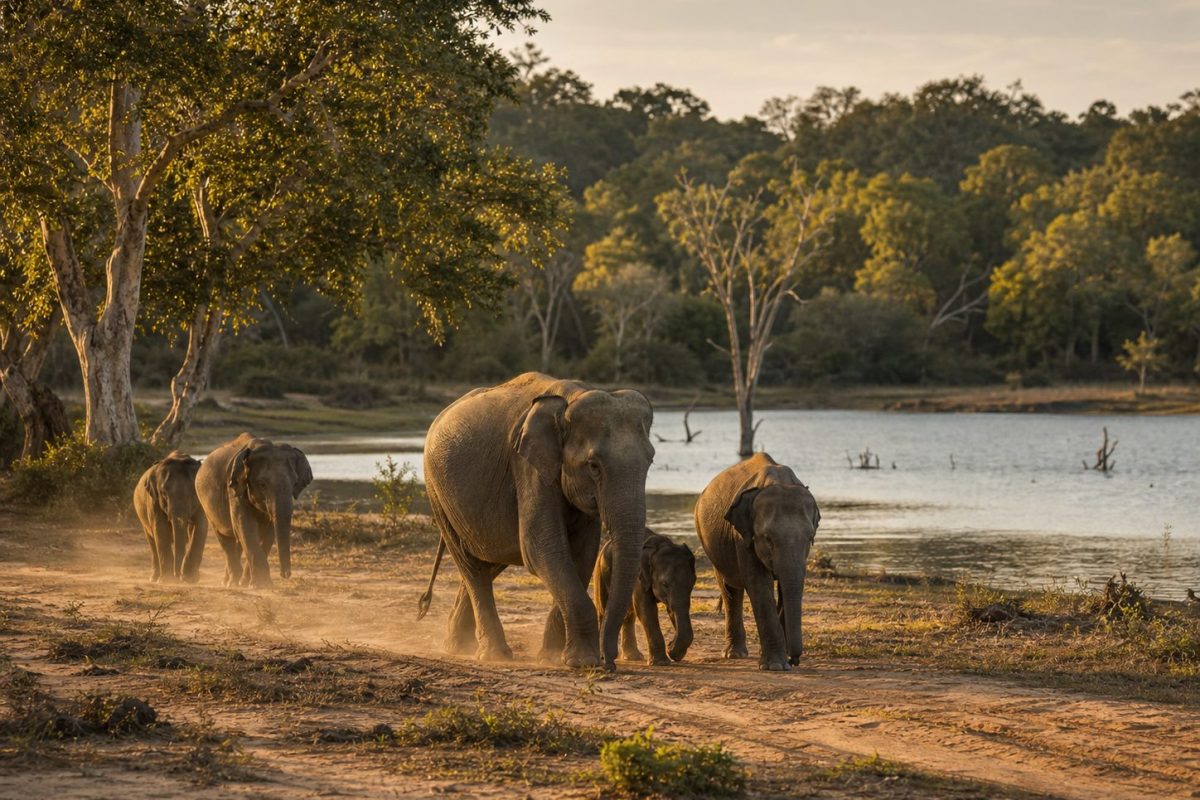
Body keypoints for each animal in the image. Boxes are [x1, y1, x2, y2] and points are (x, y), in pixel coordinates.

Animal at [133, 452, 206, 583]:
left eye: (194, 492)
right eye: (164, 493)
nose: (178, 576)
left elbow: (200, 527)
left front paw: (190, 579)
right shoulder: (154, 501)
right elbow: (160, 529)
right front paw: (167, 580)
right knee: (152, 541)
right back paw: (154, 578)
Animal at [195, 433, 313, 588]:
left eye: (294, 483)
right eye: (262, 484)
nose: (285, 574)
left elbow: (268, 532)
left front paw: (254, 583)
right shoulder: (234, 490)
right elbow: (245, 526)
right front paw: (261, 584)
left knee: (238, 541)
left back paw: (235, 581)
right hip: (206, 505)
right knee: (225, 538)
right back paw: (231, 582)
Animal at [420, 372, 654, 670]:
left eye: (650, 461)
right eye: (593, 466)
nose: (609, 662)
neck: (571, 399)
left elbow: (581, 554)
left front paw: (552, 657)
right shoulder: (527, 466)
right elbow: (542, 548)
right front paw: (583, 663)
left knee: (489, 559)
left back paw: (458, 647)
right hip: (437, 493)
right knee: (472, 566)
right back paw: (493, 654)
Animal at [593, 529, 695, 666]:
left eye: (692, 583)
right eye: (665, 584)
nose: (670, 645)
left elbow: (671, 609)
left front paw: (674, 653)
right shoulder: (639, 577)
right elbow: (645, 609)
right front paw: (661, 662)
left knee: (628, 614)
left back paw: (633, 657)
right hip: (601, 572)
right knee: (603, 610)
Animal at [694, 452, 820, 671]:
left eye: (810, 538)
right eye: (768, 538)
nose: (794, 660)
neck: (779, 481)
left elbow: (785, 587)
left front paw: (778, 660)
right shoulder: (742, 537)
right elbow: (759, 584)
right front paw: (776, 666)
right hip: (711, 544)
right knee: (730, 590)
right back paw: (734, 654)